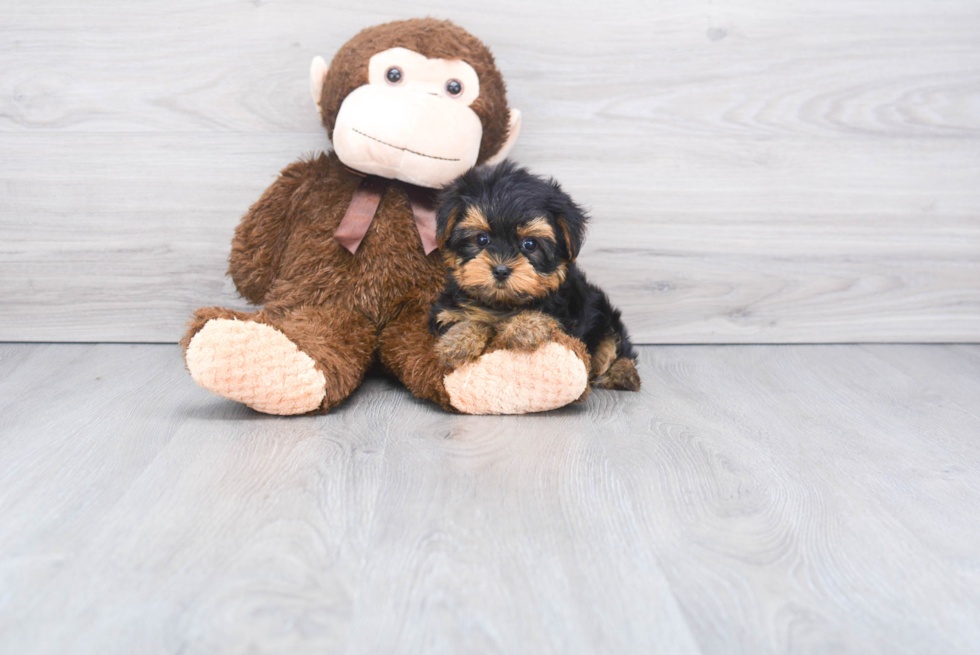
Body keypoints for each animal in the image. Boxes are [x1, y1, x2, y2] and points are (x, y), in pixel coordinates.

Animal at [430, 161, 644, 392]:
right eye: (481, 239)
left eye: (530, 244)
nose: (501, 270)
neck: (502, 304)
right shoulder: (443, 312)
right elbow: (466, 319)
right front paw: (458, 341)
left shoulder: (567, 317)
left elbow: (546, 316)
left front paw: (525, 326)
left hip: (604, 314)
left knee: (615, 344)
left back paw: (622, 373)